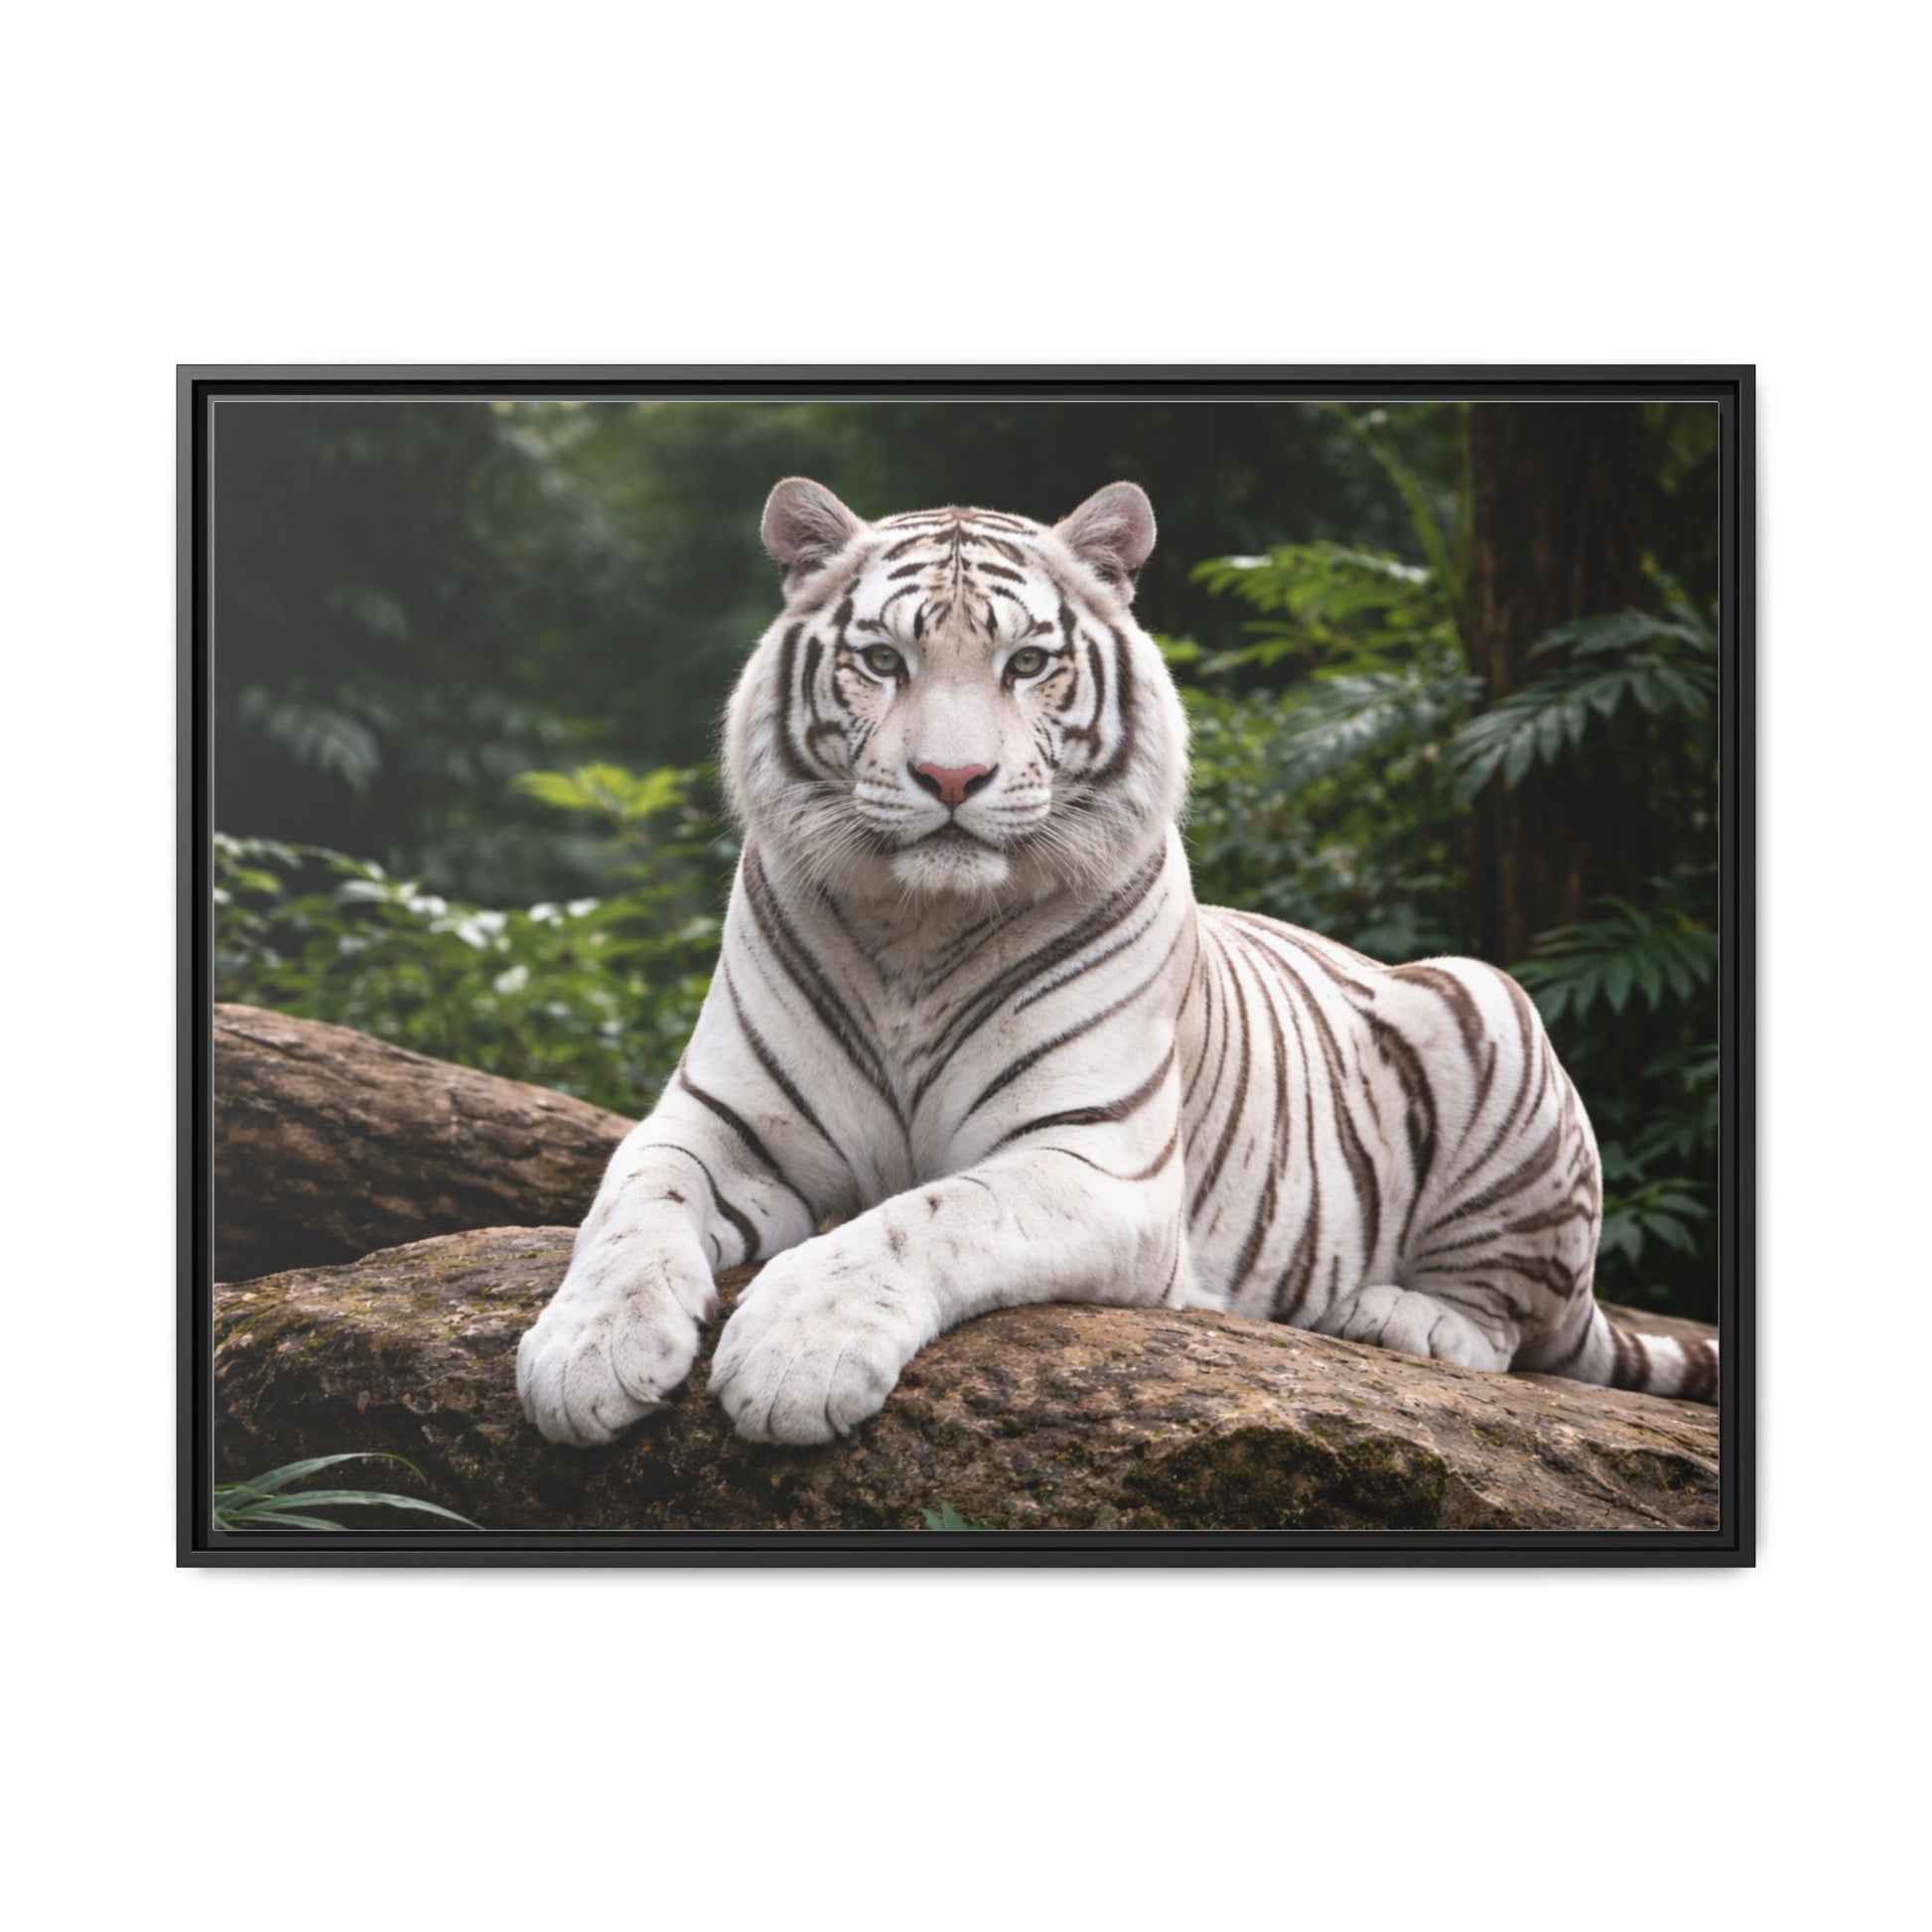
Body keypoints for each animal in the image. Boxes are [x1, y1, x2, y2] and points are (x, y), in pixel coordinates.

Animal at [516, 476, 1719, 1449]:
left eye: (1027, 663)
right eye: (883, 660)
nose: (950, 777)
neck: (917, 931)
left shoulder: (1093, 1158)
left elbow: (921, 1216)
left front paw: (795, 1355)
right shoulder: (715, 1119)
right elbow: (631, 1207)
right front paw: (584, 1355)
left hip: (1486, 1003)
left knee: (1513, 1325)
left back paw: (1397, 1316)